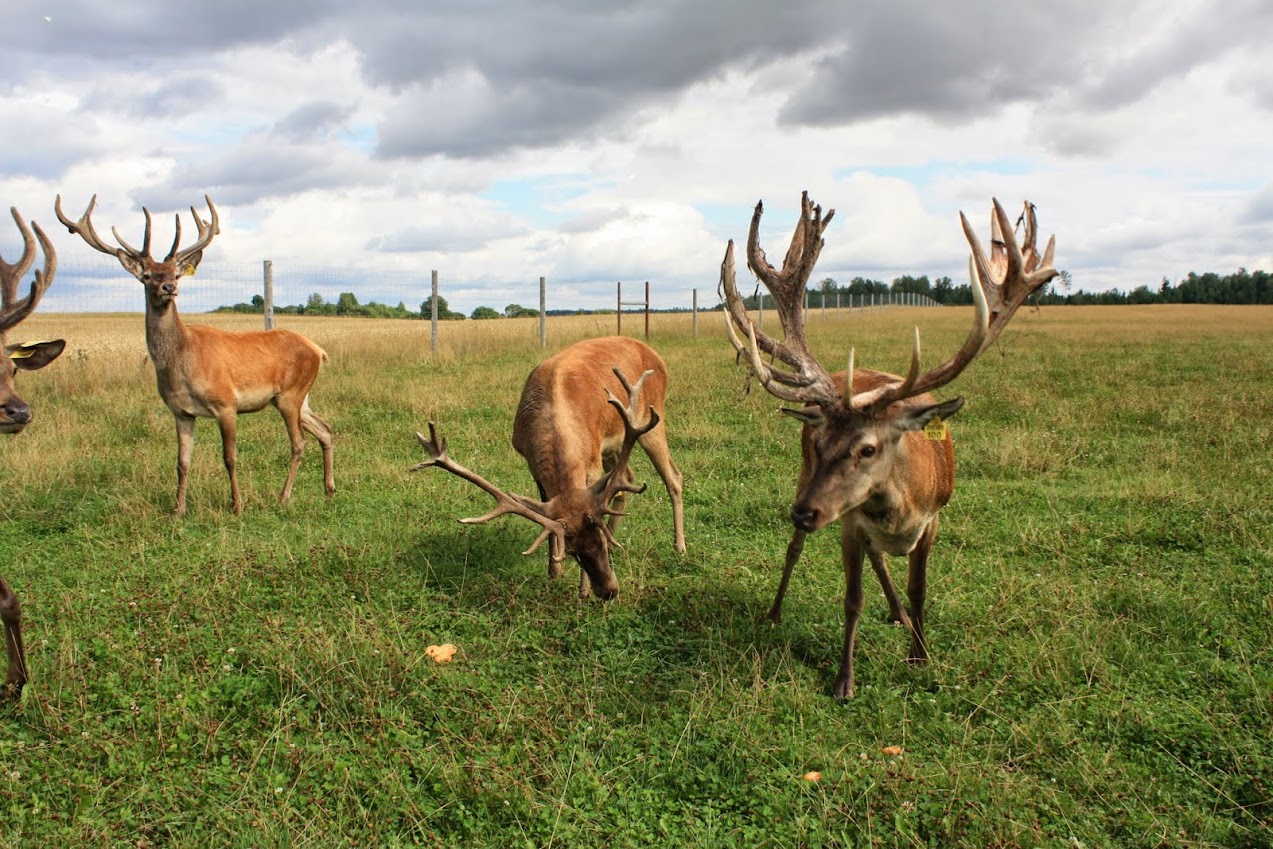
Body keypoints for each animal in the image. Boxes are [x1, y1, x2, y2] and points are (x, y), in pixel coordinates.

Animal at [54, 197, 333, 519]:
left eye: (175, 274)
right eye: (147, 276)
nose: (169, 287)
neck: (180, 366)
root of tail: (318, 349)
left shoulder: (226, 403)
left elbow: (229, 457)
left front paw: (237, 505)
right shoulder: (181, 412)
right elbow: (182, 462)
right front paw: (178, 509)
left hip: (290, 394)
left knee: (299, 442)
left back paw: (284, 497)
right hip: (296, 397)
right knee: (325, 429)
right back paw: (328, 489)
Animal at [412, 336, 682, 600]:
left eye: (600, 542)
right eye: (573, 552)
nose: (609, 591)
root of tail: (653, 353)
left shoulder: (592, 461)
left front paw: (582, 590)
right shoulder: (531, 463)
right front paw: (554, 572)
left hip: (651, 419)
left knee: (674, 477)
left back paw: (680, 548)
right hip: (615, 446)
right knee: (626, 479)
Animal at [723, 190, 1059, 697]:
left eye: (868, 448)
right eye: (820, 440)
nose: (803, 513)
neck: (902, 507)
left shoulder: (933, 519)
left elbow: (920, 590)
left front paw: (920, 655)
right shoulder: (848, 522)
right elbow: (852, 599)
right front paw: (844, 679)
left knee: (882, 559)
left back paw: (898, 613)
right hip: (812, 490)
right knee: (800, 551)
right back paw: (777, 609)